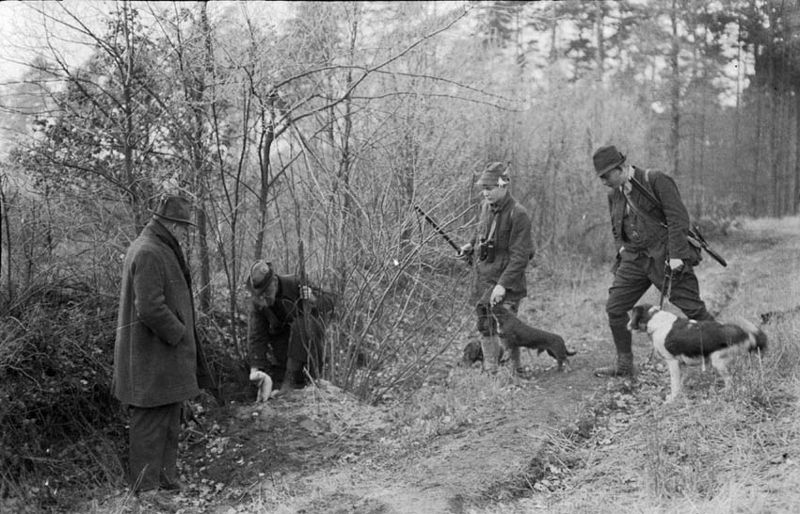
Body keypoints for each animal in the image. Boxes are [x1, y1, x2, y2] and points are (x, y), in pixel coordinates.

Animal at [628, 302, 764, 402]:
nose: (627, 325)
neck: (655, 319)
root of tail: (744, 334)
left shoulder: (672, 362)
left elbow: (674, 383)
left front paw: (672, 399)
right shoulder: (681, 364)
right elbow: (680, 382)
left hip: (719, 361)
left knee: (731, 380)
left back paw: (727, 392)